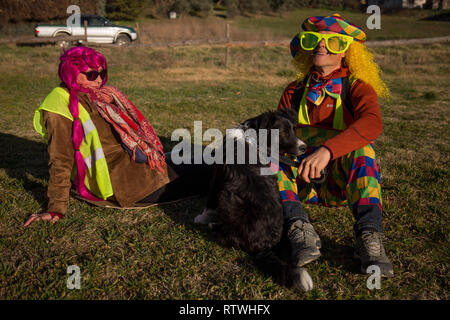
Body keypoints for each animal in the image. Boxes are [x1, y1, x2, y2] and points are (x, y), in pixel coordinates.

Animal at [195, 108, 314, 292]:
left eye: (293, 130)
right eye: (285, 132)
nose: (304, 147)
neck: (253, 135)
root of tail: (263, 246)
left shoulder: (216, 178)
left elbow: (209, 202)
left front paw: (201, 218)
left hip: (229, 200)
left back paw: (215, 227)